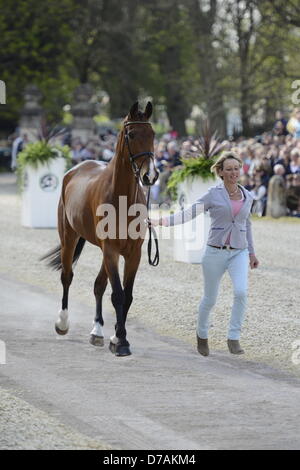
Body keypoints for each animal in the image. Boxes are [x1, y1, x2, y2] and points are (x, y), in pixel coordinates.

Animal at [43, 101, 159, 354]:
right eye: (131, 134)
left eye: (153, 134)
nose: (150, 176)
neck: (122, 198)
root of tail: (76, 168)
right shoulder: (111, 249)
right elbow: (117, 294)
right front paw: (121, 341)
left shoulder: (133, 253)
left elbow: (127, 295)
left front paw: (117, 336)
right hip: (70, 237)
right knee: (67, 276)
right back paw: (62, 323)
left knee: (98, 285)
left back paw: (97, 330)